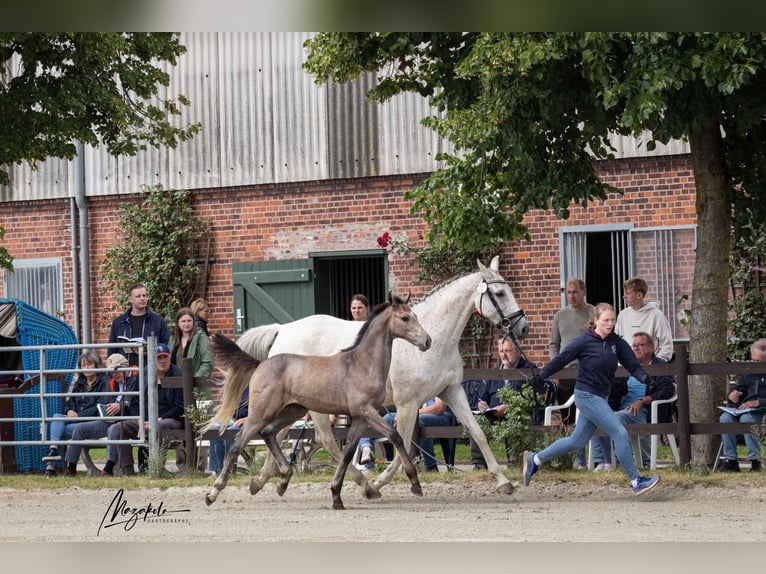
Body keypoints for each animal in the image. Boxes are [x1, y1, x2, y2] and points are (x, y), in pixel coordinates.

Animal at [204, 293, 432, 510]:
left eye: (415, 315)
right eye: (405, 318)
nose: (427, 341)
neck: (361, 364)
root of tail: (260, 363)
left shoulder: (360, 418)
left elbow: (348, 452)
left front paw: (337, 496)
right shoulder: (367, 411)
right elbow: (395, 436)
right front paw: (415, 484)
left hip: (292, 411)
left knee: (268, 433)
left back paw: (282, 479)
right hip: (261, 412)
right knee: (237, 443)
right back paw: (213, 493)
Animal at [237, 256, 529, 497]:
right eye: (499, 293)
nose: (522, 327)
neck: (434, 338)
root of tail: (282, 331)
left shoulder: (451, 391)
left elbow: (477, 432)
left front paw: (504, 482)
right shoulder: (407, 403)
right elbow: (402, 443)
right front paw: (383, 483)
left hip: (293, 404)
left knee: (279, 433)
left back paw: (265, 480)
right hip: (312, 405)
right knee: (323, 439)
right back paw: (360, 484)